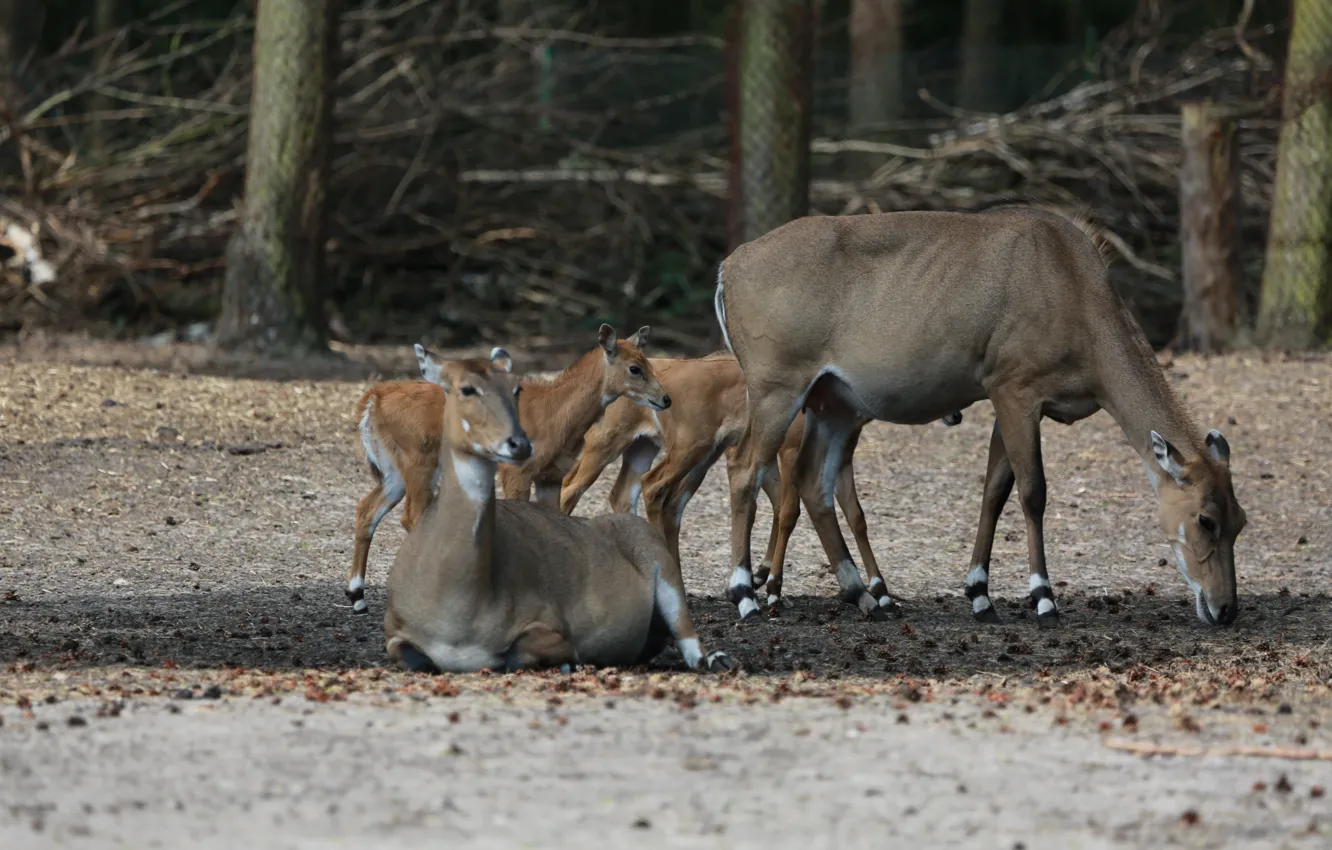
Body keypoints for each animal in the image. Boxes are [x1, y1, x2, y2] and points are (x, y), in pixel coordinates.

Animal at [348, 325, 671, 612]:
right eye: (635, 368)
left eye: (648, 362)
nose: (666, 399)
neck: (555, 414)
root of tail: (372, 400)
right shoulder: (517, 471)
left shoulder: (551, 475)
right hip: (419, 461)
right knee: (411, 516)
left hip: (394, 469)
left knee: (367, 508)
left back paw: (357, 597)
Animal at [386, 343, 735, 676]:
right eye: (466, 388)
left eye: (515, 388)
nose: (518, 443)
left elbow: (521, 653)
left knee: (690, 643)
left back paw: (718, 658)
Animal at [556, 351, 889, 618]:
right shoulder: (788, 453)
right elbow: (788, 511)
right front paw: (772, 588)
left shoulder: (841, 457)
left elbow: (855, 516)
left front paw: (881, 591)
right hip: (632, 446)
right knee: (590, 487)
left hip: (662, 451)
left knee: (637, 496)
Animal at [719, 203, 1246, 628]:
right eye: (1206, 519)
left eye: (1239, 521)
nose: (1225, 610)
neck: (1070, 280)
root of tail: (730, 263)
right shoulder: (1015, 390)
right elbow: (1032, 492)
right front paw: (1043, 598)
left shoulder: (1012, 402)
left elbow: (995, 490)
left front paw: (979, 596)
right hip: (778, 390)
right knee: (746, 468)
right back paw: (747, 594)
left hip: (833, 405)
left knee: (814, 483)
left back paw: (863, 597)